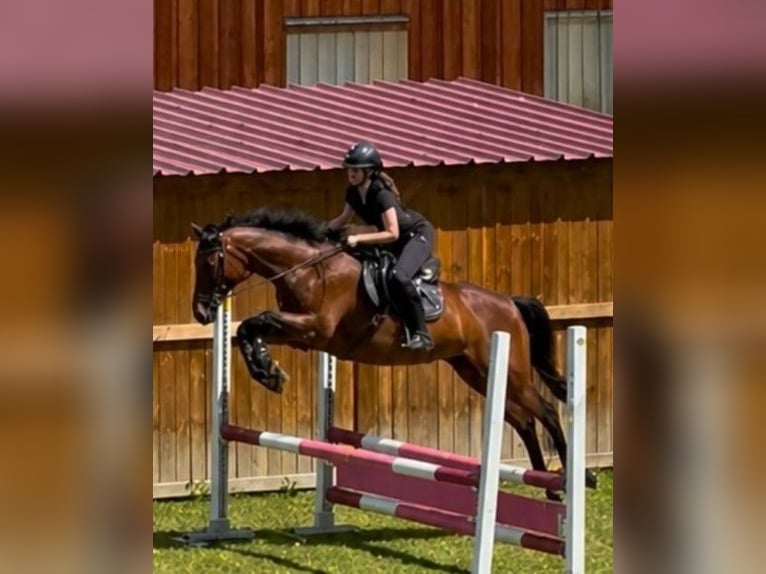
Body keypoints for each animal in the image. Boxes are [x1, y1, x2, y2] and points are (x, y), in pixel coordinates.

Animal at [190, 207, 597, 499]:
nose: (201, 313)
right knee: (524, 420)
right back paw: (549, 488)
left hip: (509, 373)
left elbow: (254, 321)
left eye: (209, 263)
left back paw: (579, 479)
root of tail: (509, 303)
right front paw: (268, 371)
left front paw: (268, 373)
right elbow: (249, 328)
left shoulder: (314, 327)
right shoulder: (302, 335)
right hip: (476, 373)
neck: (309, 269)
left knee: (546, 412)